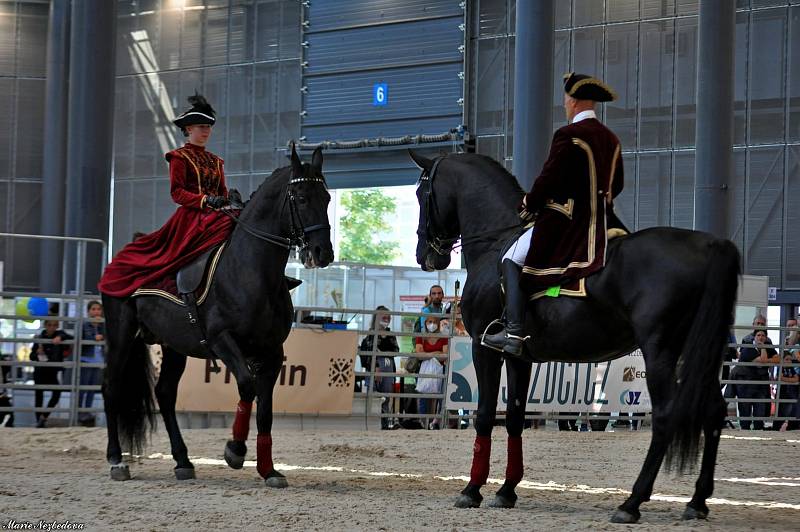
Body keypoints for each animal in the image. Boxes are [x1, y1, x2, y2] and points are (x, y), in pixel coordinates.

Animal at [101, 145, 332, 486]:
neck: (251, 271)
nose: (322, 253)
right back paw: (117, 460)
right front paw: (235, 450)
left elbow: (266, 410)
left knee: (165, 393)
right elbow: (247, 386)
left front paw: (269, 470)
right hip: (121, 334)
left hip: (173, 346)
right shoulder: (222, 341)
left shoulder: (272, 352)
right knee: (111, 388)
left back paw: (183, 461)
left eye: (326, 198)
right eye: (301, 198)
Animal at [410, 151, 740, 524]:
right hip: (697, 353)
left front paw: (472, 489)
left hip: (662, 351)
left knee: (666, 416)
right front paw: (507, 491)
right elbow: (515, 418)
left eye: (422, 195)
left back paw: (631, 503)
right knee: (713, 411)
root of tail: (710, 244)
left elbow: (484, 416)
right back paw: (697, 501)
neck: (497, 241)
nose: (425, 255)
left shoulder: (485, 349)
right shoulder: (518, 356)